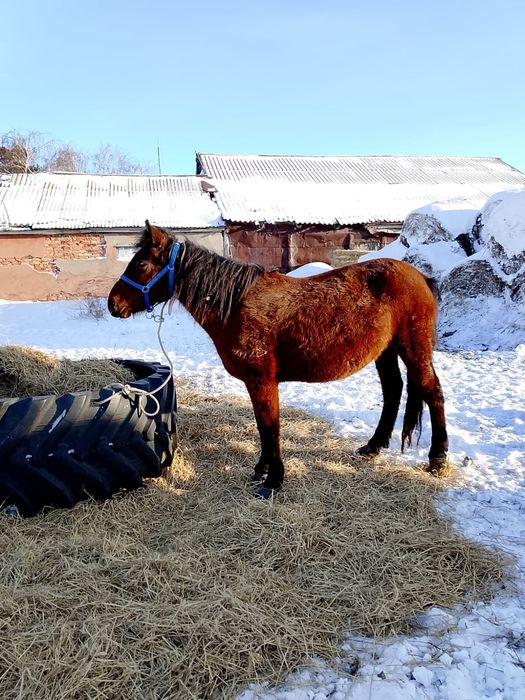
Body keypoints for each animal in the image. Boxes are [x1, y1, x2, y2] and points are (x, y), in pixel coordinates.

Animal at [108, 221, 449, 498]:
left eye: (140, 262)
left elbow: (270, 427)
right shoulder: (255, 384)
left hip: (413, 348)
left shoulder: (262, 381)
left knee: (431, 391)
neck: (236, 304)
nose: (113, 304)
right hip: (385, 351)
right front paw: (262, 469)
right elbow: (263, 428)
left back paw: (438, 458)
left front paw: (273, 481)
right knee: (393, 391)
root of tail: (420, 277)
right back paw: (373, 446)